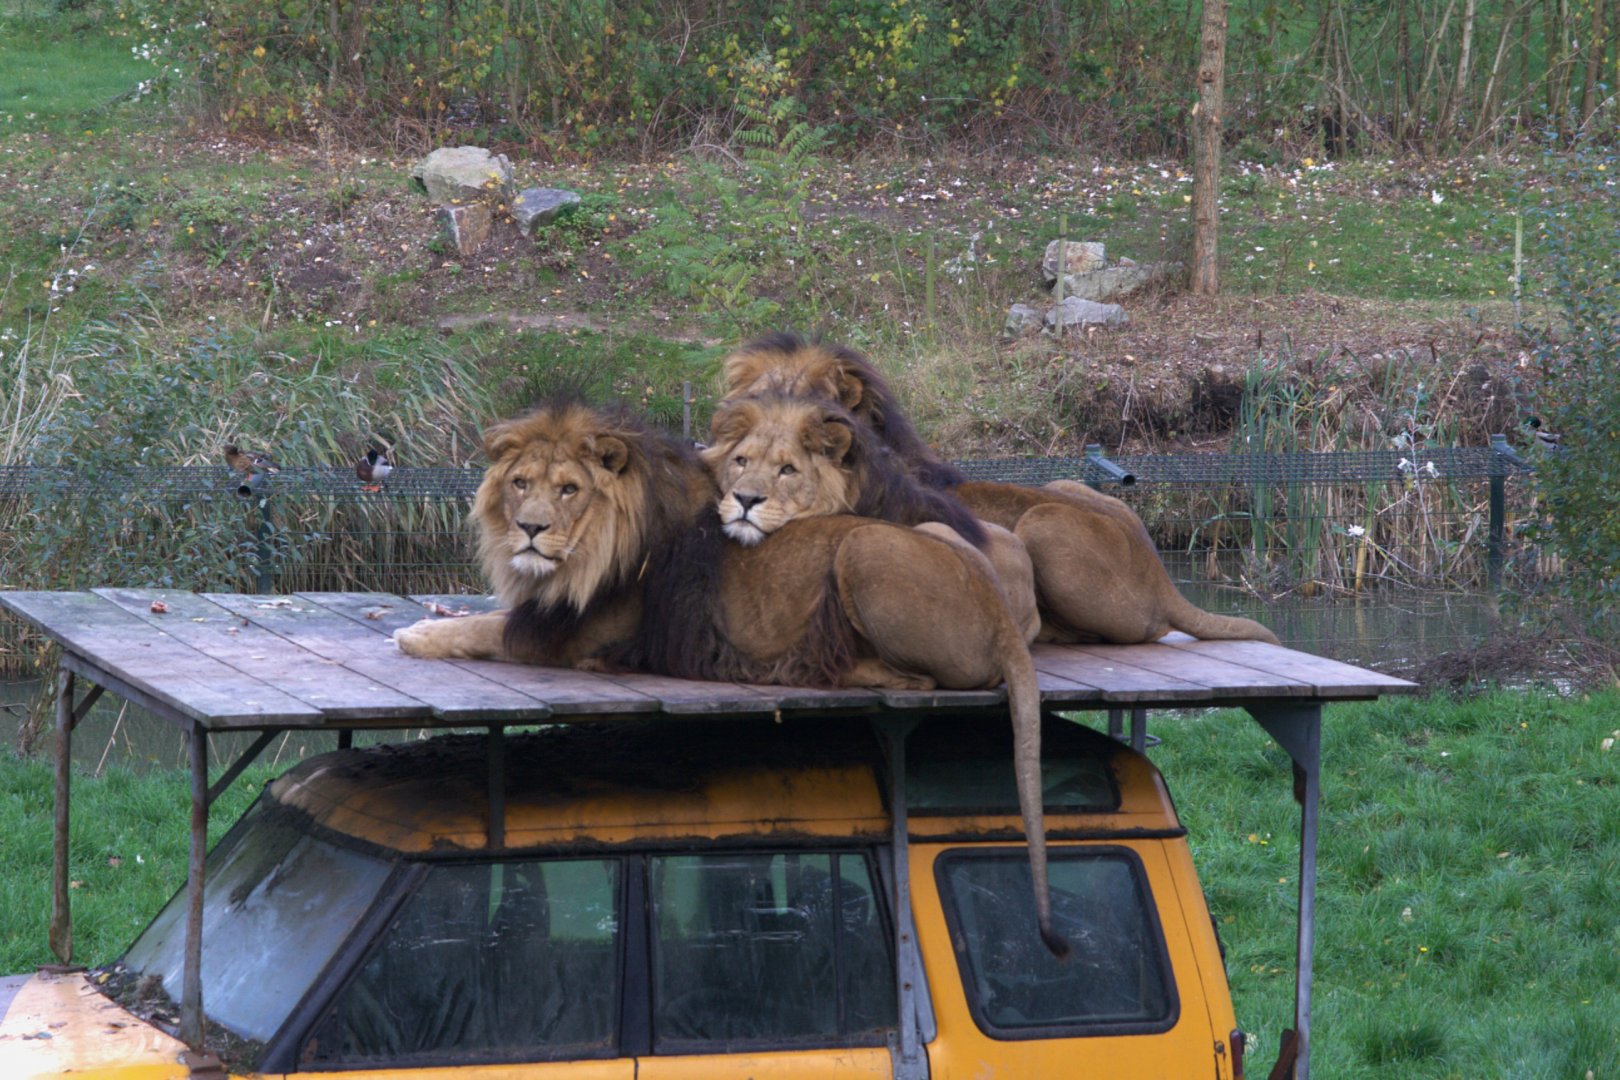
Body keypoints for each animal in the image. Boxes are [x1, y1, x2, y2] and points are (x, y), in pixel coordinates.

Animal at [395, 400, 1064, 954]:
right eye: (520, 484)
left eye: (568, 490)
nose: (529, 531)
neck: (592, 550)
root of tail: (1003, 618)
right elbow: (484, 614)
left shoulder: (575, 636)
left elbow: (488, 628)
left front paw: (414, 635)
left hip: (862, 549)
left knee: (920, 681)